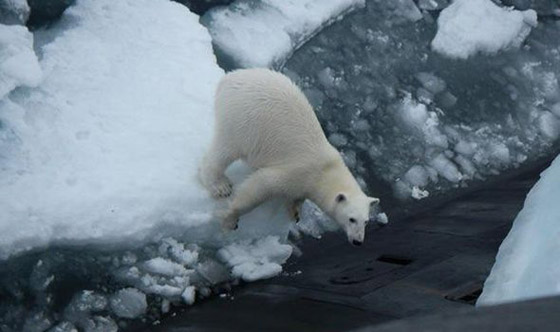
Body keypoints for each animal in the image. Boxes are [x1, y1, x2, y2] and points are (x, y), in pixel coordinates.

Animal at [200, 68, 380, 245]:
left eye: (366, 221)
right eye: (351, 219)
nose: (358, 241)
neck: (326, 171)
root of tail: (229, 78)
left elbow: (296, 197)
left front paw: (296, 212)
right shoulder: (299, 171)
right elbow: (262, 185)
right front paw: (231, 220)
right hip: (243, 120)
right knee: (226, 150)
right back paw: (220, 185)